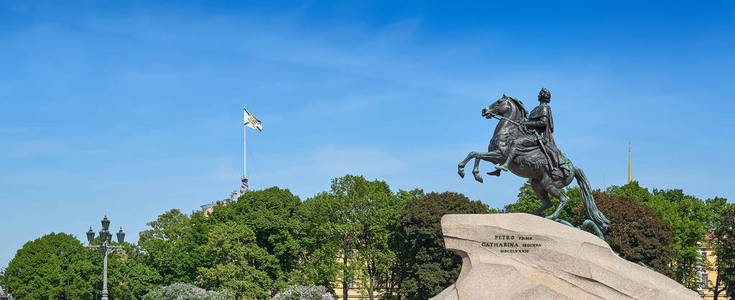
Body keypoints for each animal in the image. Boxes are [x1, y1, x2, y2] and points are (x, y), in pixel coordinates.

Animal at [460, 95, 608, 231]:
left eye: (499, 101)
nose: (484, 111)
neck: (508, 130)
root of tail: (573, 168)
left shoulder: (500, 155)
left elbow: (476, 154)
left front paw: (464, 171)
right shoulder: (495, 156)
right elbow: (475, 154)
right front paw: (477, 174)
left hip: (549, 184)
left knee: (564, 199)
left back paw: (551, 217)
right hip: (536, 183)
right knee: (548, 203)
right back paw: (532, 215)